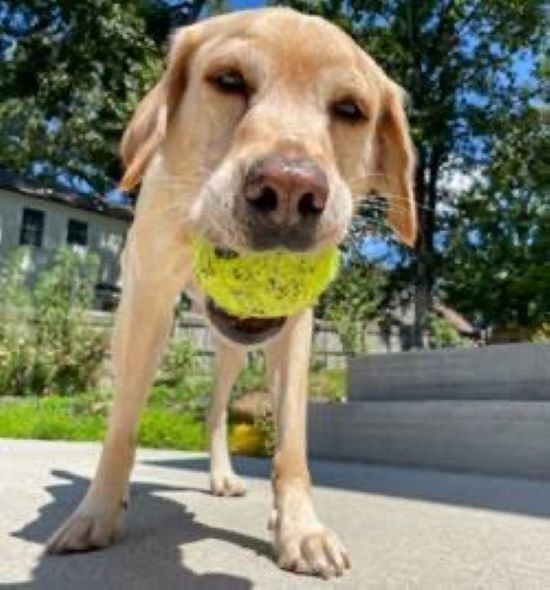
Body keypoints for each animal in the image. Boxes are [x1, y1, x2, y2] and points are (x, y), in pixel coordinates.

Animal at [47, 6, 416, 580]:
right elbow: (122, 428)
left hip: (233, 355)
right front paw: (97, 512)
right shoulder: (150, 302)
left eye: (350, 110)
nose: (289, 190)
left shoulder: (297, 330)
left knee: (216, 410)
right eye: (228, 80)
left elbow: (291, 445)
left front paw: (301, 530)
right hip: (135, 325)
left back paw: (221, 474)